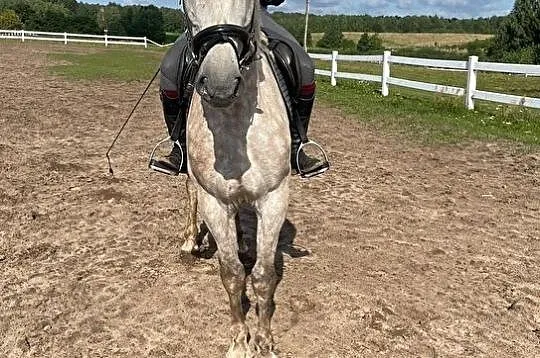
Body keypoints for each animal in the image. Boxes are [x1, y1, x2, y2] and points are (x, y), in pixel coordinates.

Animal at [180, 0, 292, 356]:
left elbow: (263, 276)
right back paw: (190, 240)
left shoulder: (273, 199)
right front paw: (239, 341)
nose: (219, 83)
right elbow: (231, 274)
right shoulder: (214, 202)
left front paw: (264, 341)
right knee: (189, 192)